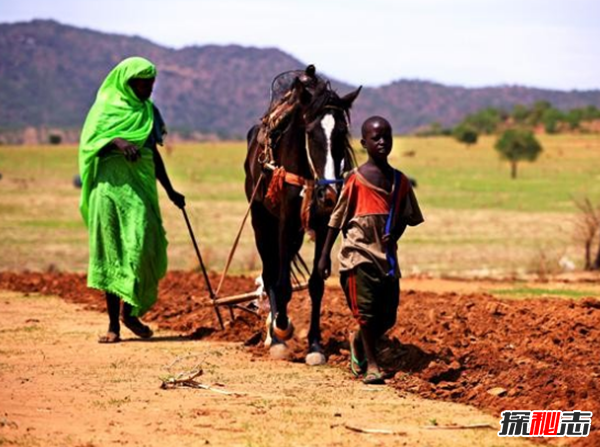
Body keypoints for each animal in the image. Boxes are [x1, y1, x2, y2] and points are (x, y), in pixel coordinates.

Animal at [244, 67, 360, 364]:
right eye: (311, 133)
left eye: (342, 134)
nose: (329, 193)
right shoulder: (285, 222)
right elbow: (282, 282)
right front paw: (281, 330)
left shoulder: (322, 223)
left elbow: (316, 282)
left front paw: (315, 346)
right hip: (262, 222)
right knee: (270, 272)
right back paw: (275, 335)